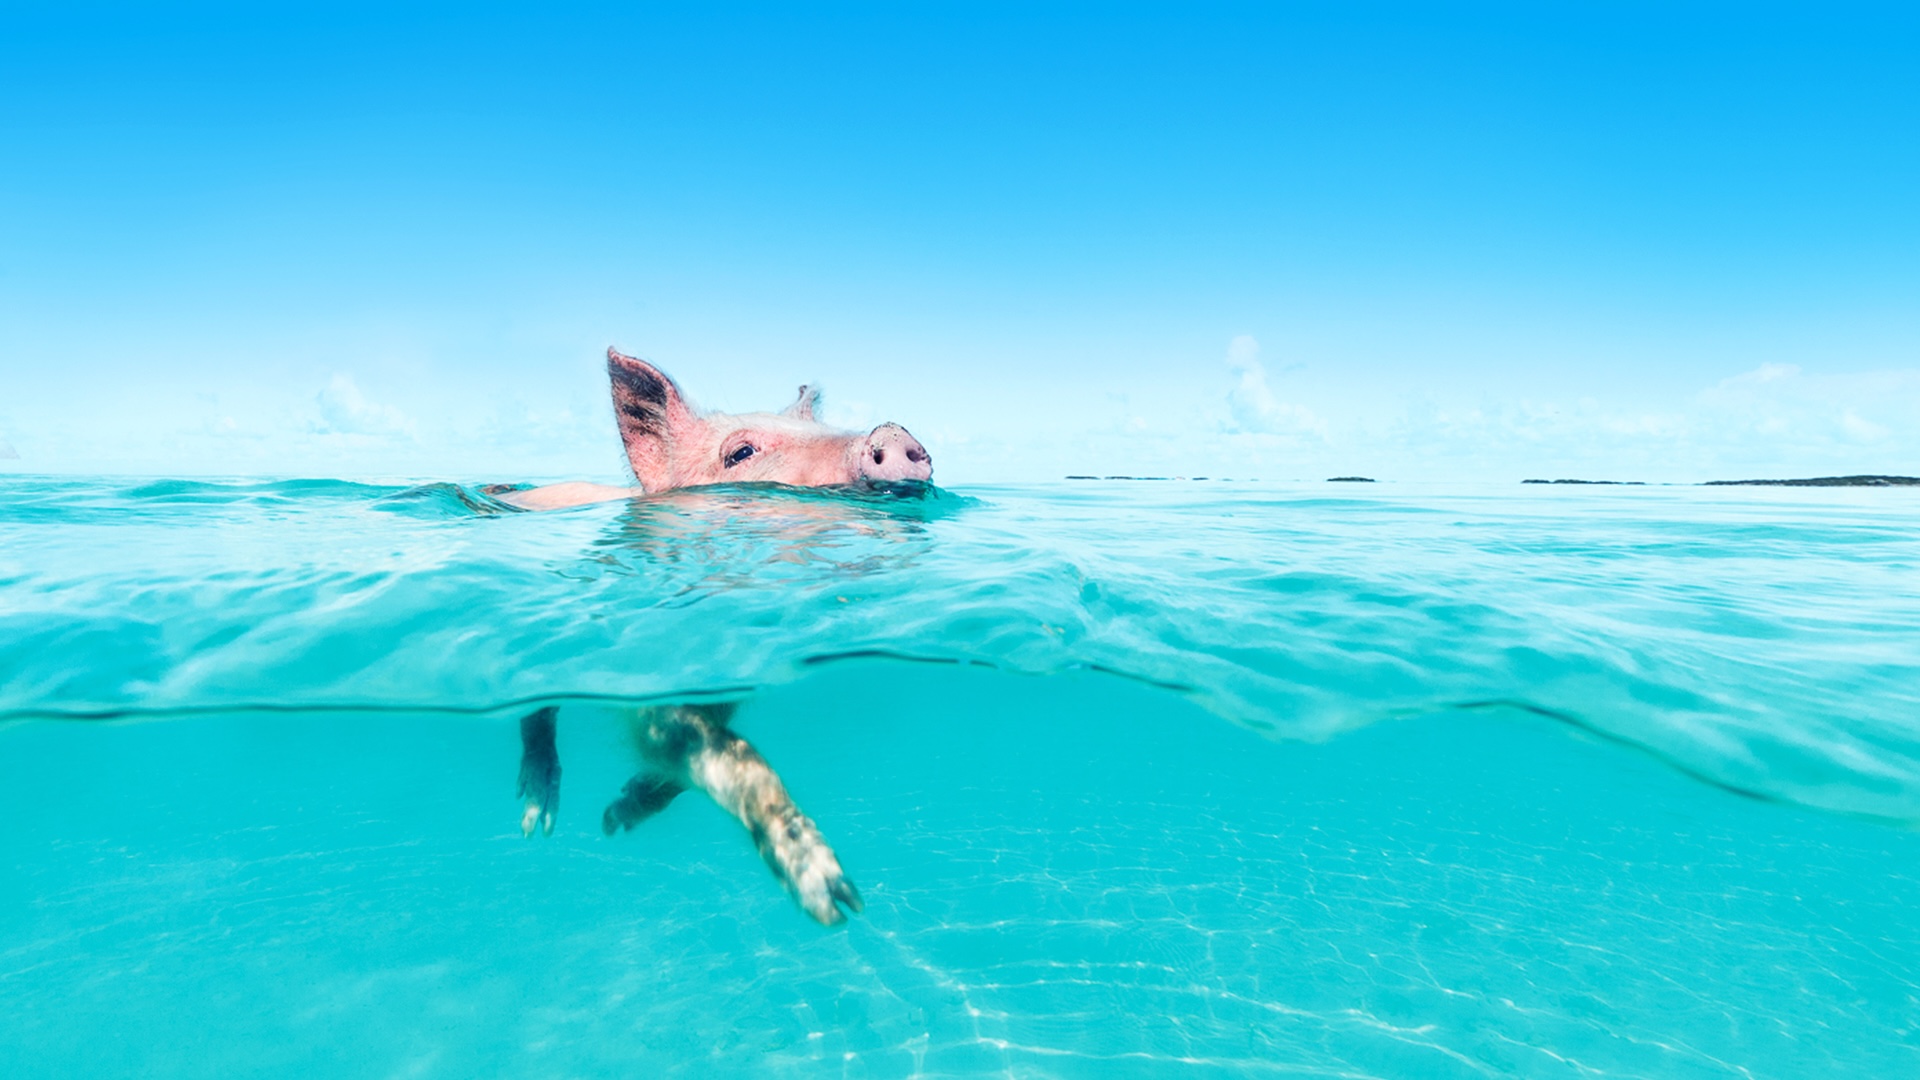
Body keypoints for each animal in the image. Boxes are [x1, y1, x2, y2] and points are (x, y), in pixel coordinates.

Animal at [506, 348, 934, 926]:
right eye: (741, 453)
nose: (890, 431)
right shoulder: (646, 690)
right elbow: (735, 755)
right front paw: (836, 901)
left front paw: (617, 816)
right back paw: (537, 822)